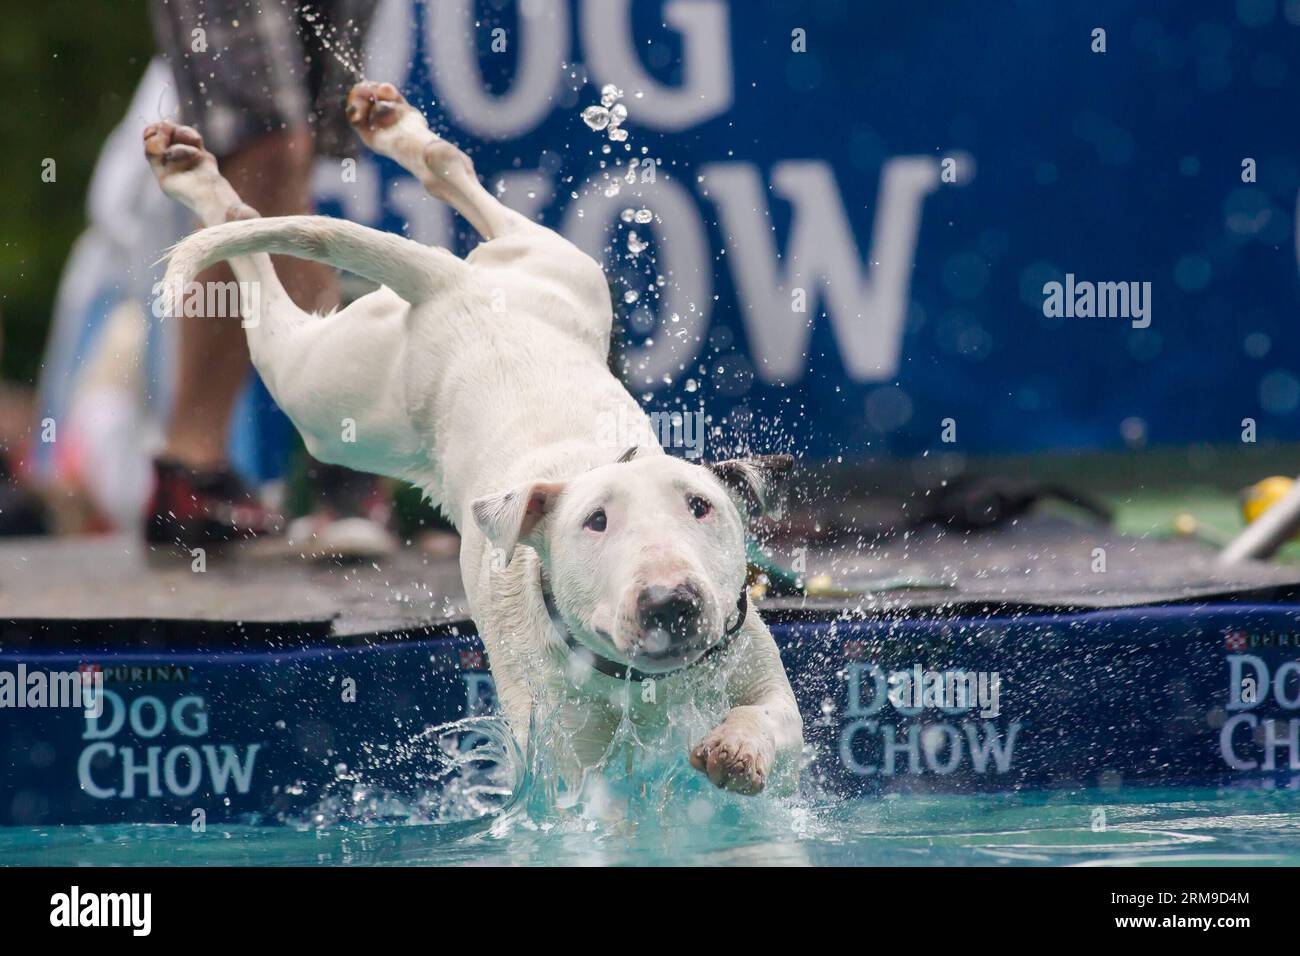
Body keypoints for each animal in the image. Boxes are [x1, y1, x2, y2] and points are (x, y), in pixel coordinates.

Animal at [144, 82, 800, 796]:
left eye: (701, 505)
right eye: (594, 521)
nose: (669, 600)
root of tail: (450, 287)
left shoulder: (762, 677)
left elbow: (774, 718)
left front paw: (737, 747)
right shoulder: (565, 767)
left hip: (558, 272)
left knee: (461, 182)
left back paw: (372, 132)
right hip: (323, 401)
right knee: (264, 299)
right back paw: (201, 182)